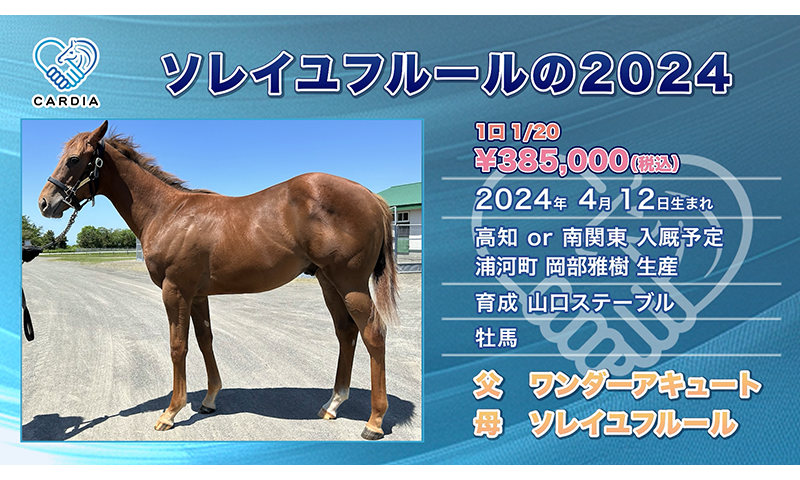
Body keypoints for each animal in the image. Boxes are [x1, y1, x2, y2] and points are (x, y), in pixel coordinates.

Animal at [38, 121, 398, 440]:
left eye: (74, 159)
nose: (45, 203)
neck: (168, 213)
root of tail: (371, 196)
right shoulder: (197, 295)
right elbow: (205, 340)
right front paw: (209, 401)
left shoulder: (175, 291)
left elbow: (178, 346)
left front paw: (170, 412)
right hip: (328, 282)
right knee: (346, 332)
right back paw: (332, 404)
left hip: (350, 283)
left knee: (373, 334)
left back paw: (374, 421)